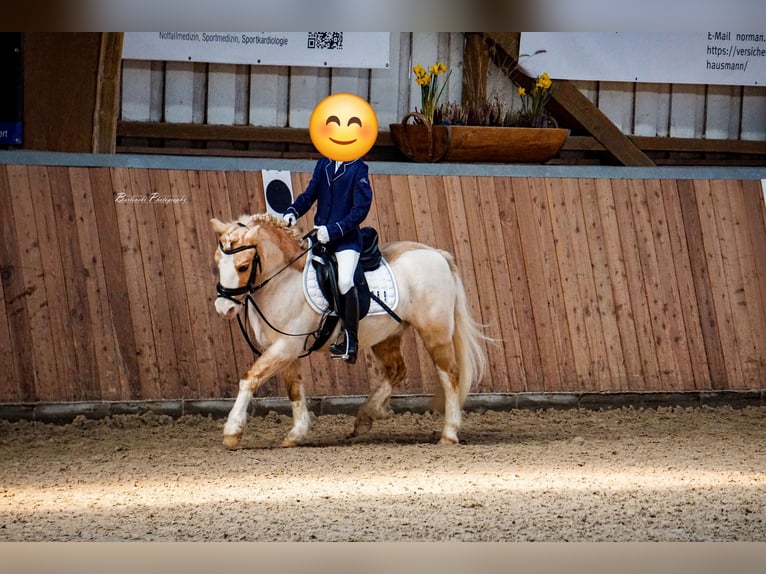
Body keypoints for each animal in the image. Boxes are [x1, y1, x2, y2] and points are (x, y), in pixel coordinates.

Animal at [210, 213, 489, 447]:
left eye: (243, 266)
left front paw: (232, 431)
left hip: (435, 331)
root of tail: (436, 253)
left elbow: (249, 379)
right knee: (397, 371)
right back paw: (365, 417)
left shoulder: (285, 347)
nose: (224, 308)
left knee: (449, 375)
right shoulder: (284, 348)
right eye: (217, 263)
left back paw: (449, 433)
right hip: (386, 336)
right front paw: (296, 434)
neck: (283, 281)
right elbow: (294, 388)